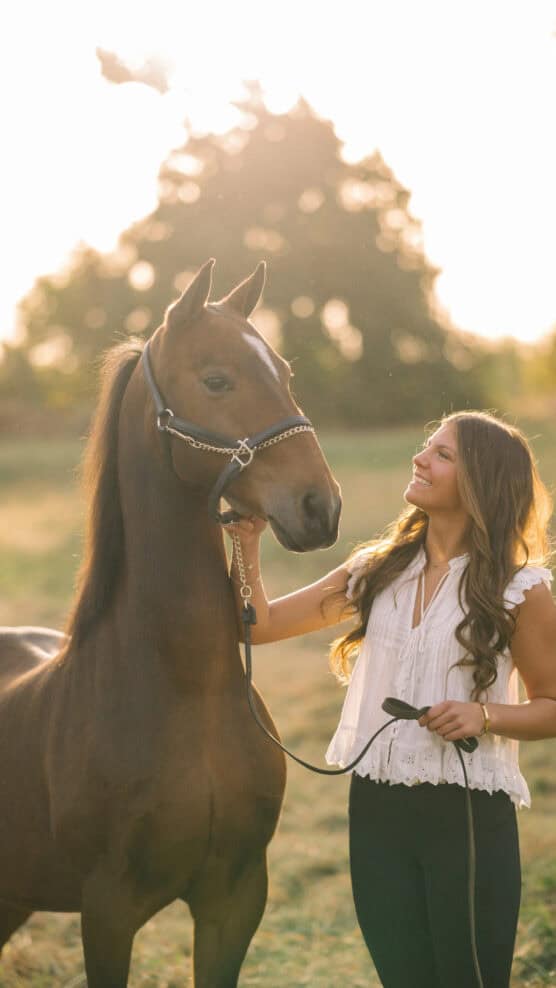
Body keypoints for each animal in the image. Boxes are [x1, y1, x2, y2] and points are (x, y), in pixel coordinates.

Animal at [0, 258, 341, 987]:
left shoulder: (235, 898)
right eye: (216, 379)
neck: (187, 691)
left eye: (285, 372)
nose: (320, 507)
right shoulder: (107, 911)